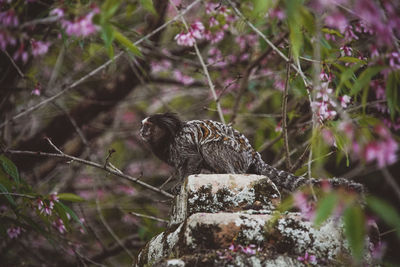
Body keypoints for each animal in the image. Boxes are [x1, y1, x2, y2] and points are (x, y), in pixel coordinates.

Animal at [139, 112, 364, 195]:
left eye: (147, 126)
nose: (140, 132)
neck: (168, 138)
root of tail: (253, 155)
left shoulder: (183, 143)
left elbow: (194, 157)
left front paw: (182, 183)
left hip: (233, 153)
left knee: (209, 147)